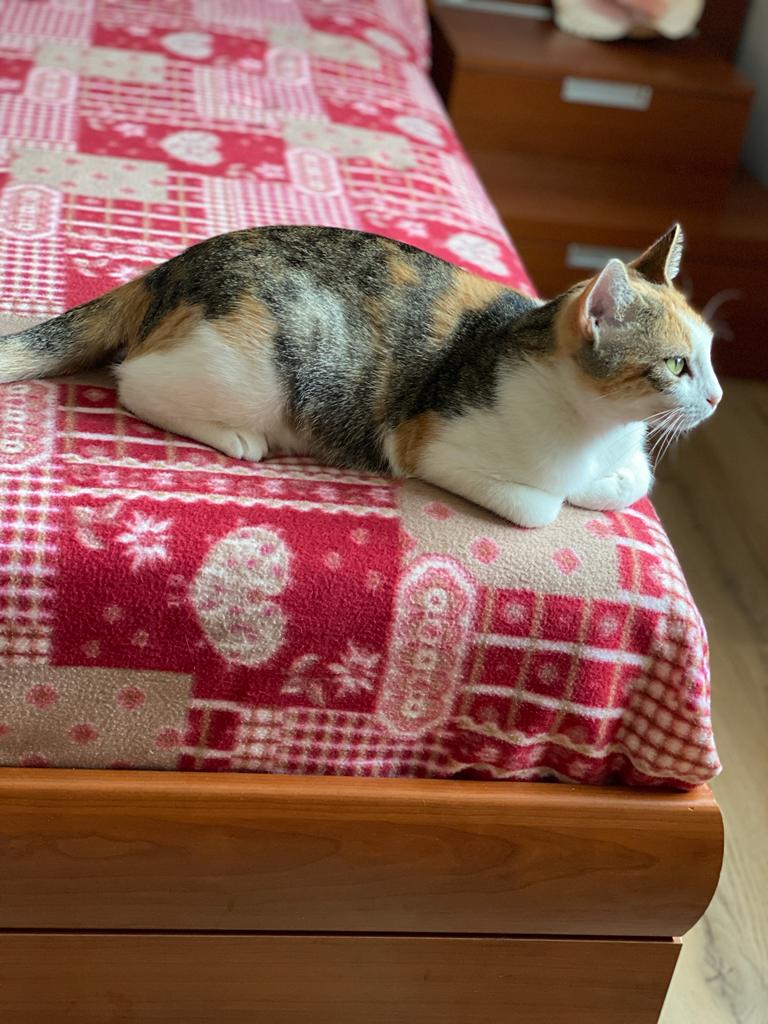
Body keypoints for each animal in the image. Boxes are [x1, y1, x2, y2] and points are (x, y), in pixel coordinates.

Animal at [0, 223, 721, 528]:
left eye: (711, 353)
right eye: (675, 365)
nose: (716, 397)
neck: (600, 431)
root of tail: (169, 269)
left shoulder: (628, 463)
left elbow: (633, 482)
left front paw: (607, 484)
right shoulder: (430, 446)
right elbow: (541, 505)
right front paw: (570, 491)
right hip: (262, 367)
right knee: (135, 380)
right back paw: (237, 437)